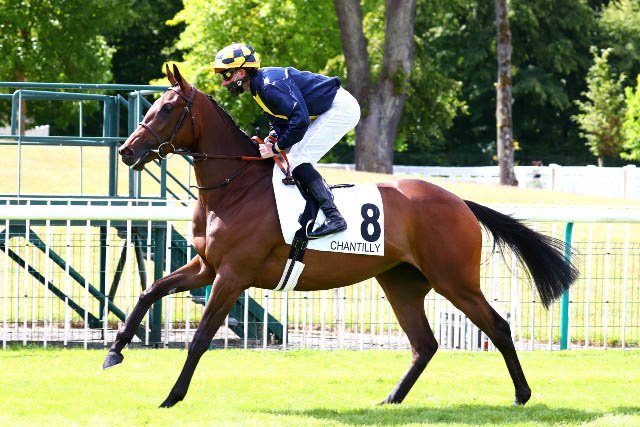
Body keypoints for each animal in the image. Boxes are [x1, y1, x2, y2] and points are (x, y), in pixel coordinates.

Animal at [105, 64, 578, 408]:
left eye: (167, 108)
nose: (126, 151)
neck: (235, 186)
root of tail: (459, 201)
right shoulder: (206, 267)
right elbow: (150, 291)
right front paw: (115, 351)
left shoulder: (232, 275)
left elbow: (201, 337)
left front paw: (171, 397)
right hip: (401, 282)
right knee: (424, 344)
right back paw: (391, 399)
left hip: (454, 280)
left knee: (497, 326)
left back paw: (521, 394)